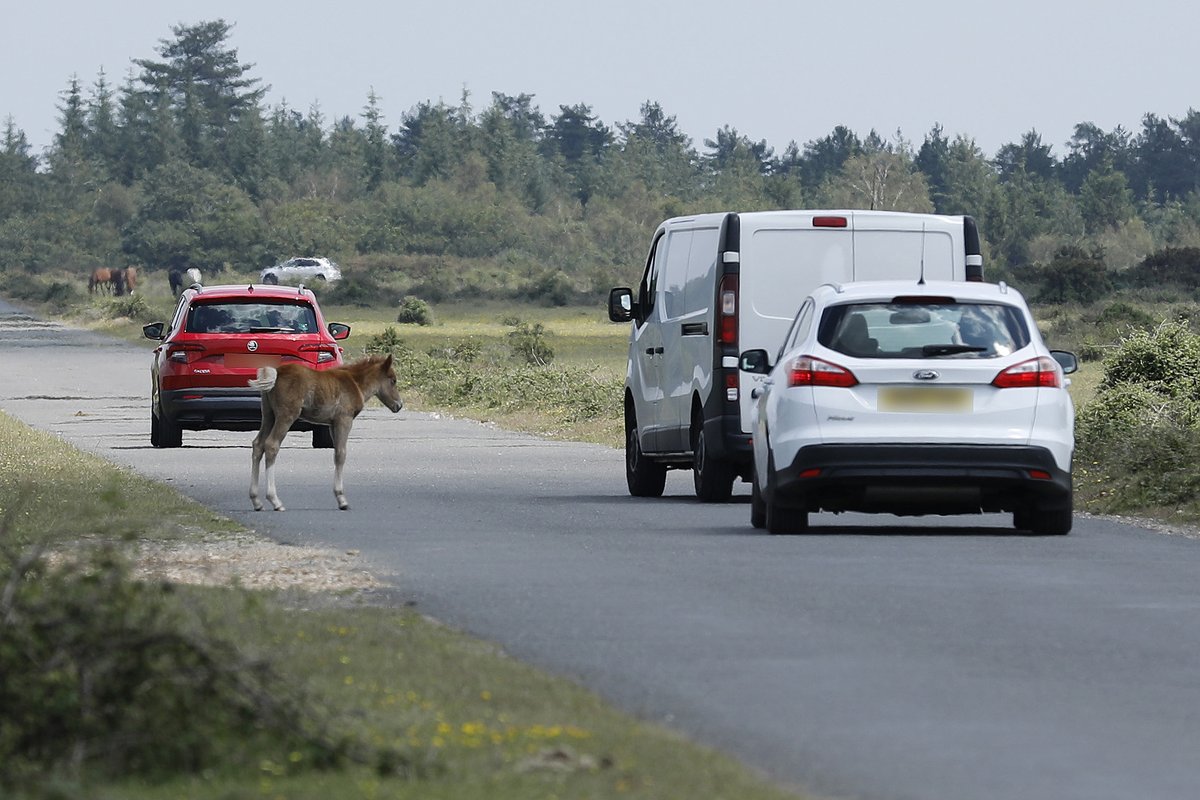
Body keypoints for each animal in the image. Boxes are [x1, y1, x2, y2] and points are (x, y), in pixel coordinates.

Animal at [248, 354, 403, 511]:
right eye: (393, 380)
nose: (399, 405)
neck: (356, 383)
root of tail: (277, 372)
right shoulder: (344, 419)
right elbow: (341, 454)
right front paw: (342, 499)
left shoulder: (332, 424)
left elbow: (336, 453)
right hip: (286, 415)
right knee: (271, 445)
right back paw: (275, 500)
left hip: (269, 415)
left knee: (258, 445)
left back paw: (256, 501)